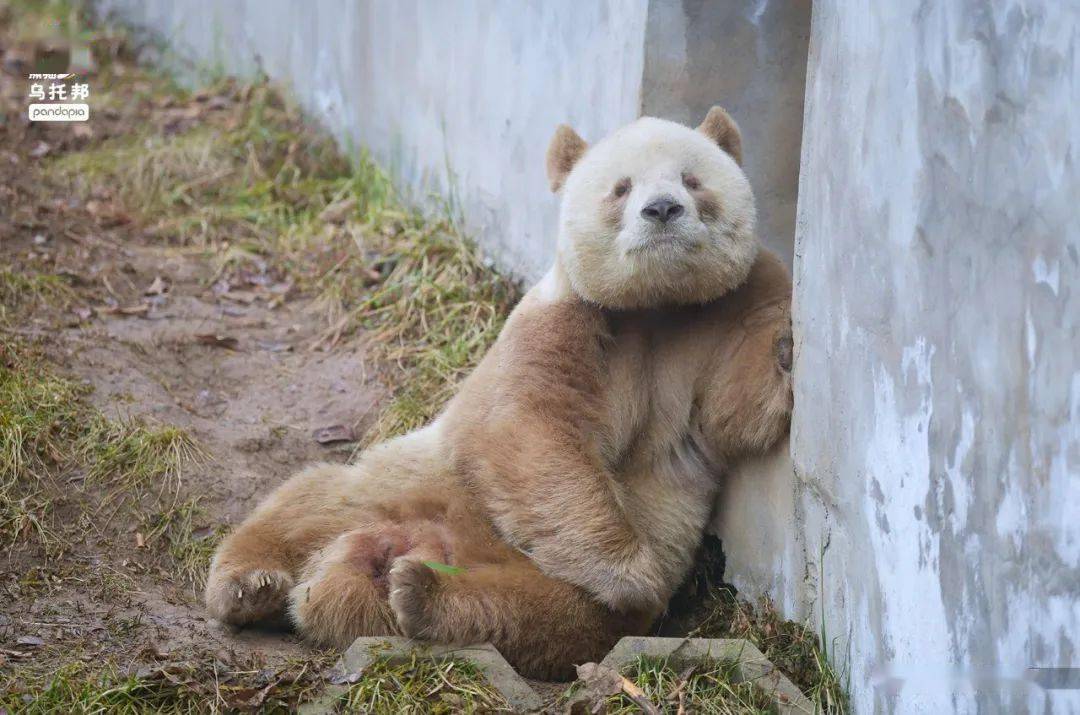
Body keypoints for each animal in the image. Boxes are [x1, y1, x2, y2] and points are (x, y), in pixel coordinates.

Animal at [204, 106, 793, 680]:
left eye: (693, 180)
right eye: (621, 187)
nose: (663, 209)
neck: (656, 303)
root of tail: (426, 540)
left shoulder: (720, 312)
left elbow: (734, 408)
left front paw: (789, 345)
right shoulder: (566, 316)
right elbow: (528, 426)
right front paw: (630, 568)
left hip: (533, 569)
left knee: (546, 615)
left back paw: (416, 593)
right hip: (418, 476)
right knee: (315, 500)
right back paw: (254, 584)